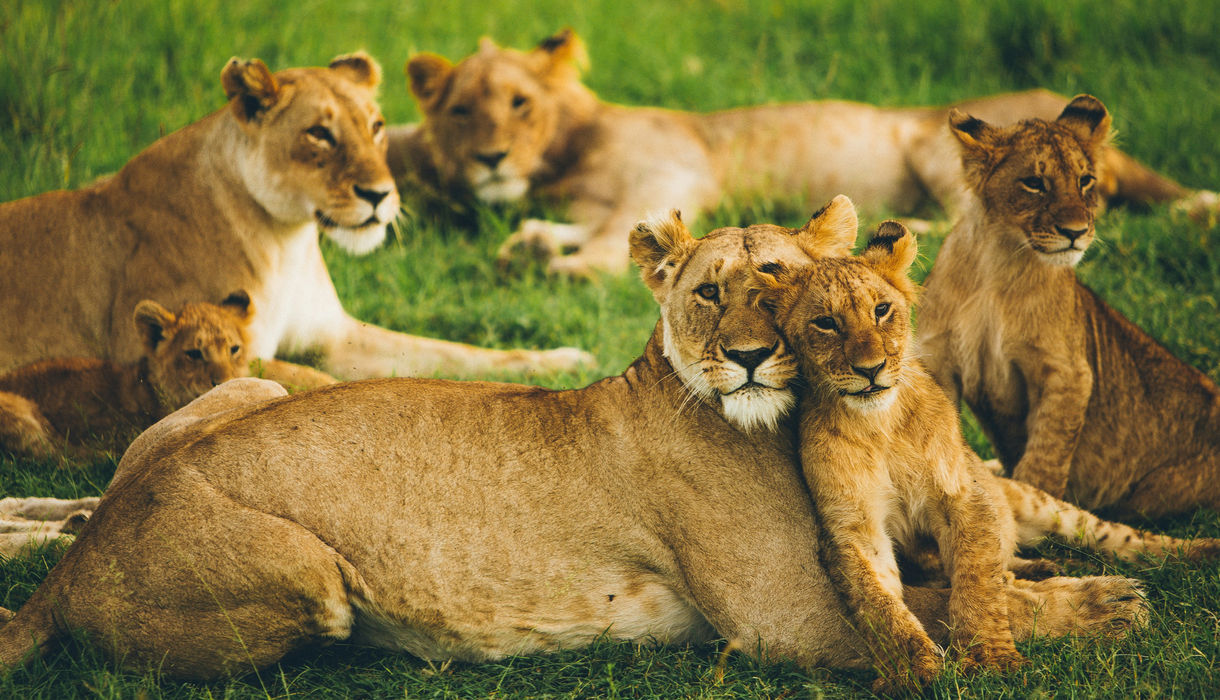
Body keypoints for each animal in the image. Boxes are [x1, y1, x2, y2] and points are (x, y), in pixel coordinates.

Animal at [0, 52, 590, 380]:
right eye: (319, 134)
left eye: (376, 126)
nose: (380, 195)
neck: (287, 240)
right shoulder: (184, 350)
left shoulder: (336, 336)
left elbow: (455, 352)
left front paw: (564, 361)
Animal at [0, 206, 1145, 680]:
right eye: (708, 293)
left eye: (777, 280)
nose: (745, 357)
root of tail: (76, 565)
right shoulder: (786, 622)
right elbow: (932, 608)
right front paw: (1103, 604)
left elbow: (964, 573)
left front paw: (1056, 573)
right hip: (312, 576)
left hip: (242, 383)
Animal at [390, 28, 1218, 278]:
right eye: (461, 110)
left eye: (519, 104)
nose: (491, 158)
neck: (562, 158)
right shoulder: (605, 199)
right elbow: (592, 228)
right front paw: (532, 242)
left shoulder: (670, 172)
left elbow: (610, 243)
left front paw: (559, 265)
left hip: (935, 144)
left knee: (972, 221)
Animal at [762, 208, 1217, 691]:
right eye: (825, 323)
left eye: (881, 310)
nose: (871, 370)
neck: (878, 424)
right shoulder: (852, 528)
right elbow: (880, 605)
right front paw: (911, 670)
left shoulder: (964, 495)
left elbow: (977, 580)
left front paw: (989, 658)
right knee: (1008, 565)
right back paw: (1046, 571)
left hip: (1039, 502)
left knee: (1121, 537)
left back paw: (1200, 552)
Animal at [917, 95, 1220, 519]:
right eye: (1034, 183)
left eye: (1085, 180)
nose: (1076, 232)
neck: (997, 263)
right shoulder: (938, 360)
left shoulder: (1068, 371)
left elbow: (1045, 457)